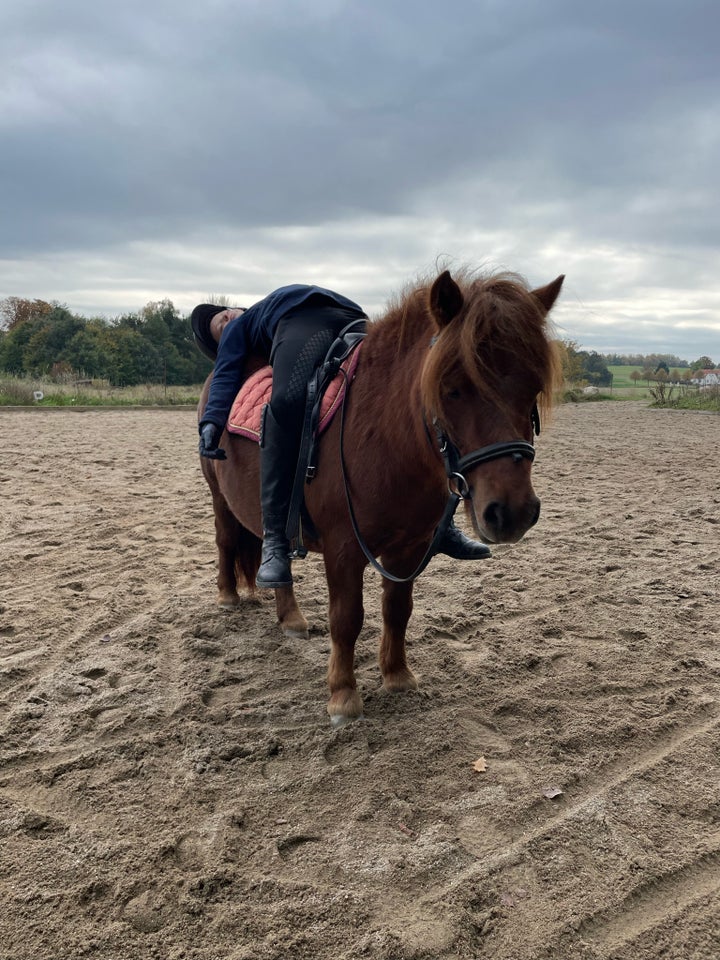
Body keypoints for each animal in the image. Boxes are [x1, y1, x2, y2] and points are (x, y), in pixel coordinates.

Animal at [200, 268, 564, 720]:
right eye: (452, 388)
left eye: (533, 388)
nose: (512, 512)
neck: (385, 436)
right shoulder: (343, 549)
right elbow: (347, 618)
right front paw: (342, 693)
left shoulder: (410, 548)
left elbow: (397, 609)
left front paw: (397, 675)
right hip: (219, 498)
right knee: (226, 540)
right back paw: (227, 595)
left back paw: (290, 618)